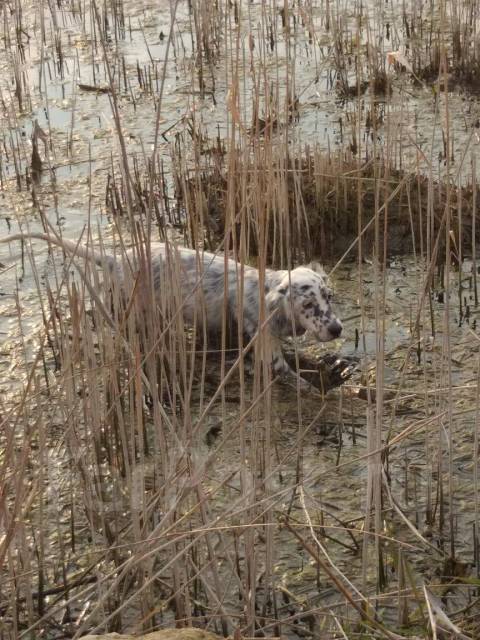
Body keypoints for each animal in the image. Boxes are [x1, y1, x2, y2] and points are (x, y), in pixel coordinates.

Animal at [1, 235, 344, 384]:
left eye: (329, 296)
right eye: (308, 304)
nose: (337, 329)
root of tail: (116, 258)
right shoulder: (265, 346)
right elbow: (292, 376)